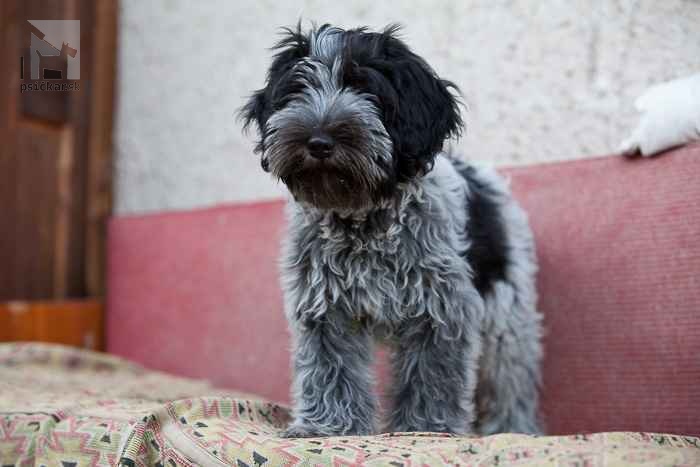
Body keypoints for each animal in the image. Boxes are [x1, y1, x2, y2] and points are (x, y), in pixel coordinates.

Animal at [243, 22, 544, 438]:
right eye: (297, 89)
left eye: (367, 89)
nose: (318, 141)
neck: (365, 220)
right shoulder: (324, 305)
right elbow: (329, 367)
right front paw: (328, 426)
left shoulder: (440, 308)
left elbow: (433, 375)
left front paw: (426, 428)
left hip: (508, 311)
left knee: (510, 378)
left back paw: (513, 428)